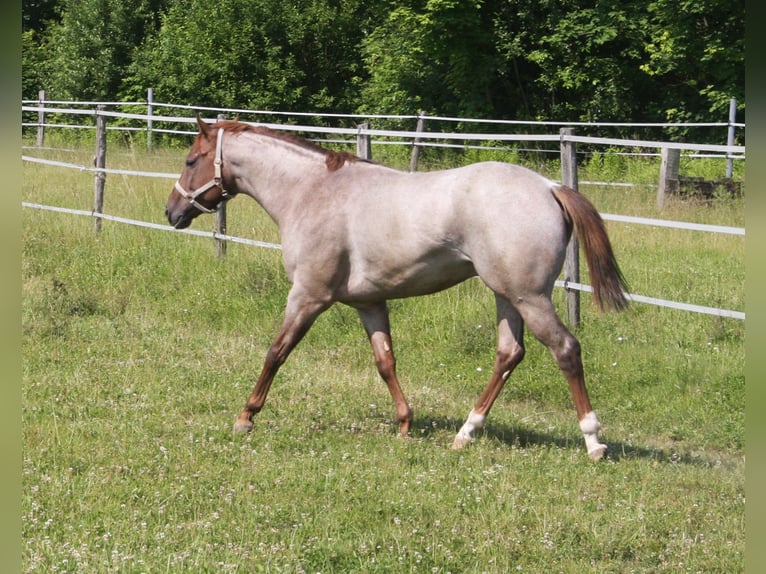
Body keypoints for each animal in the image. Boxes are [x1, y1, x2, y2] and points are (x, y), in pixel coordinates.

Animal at [166, 117, 629, 460]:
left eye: (191, 160)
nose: (172, 212)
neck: (313, 192)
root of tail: (550, 187)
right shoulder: (370, 302)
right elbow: (385, 361)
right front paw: (405, 423)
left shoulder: (307, 297)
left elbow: (276, 352)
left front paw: (246, 417)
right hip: (507, 297)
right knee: (508, 354)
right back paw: (466, 432)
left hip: (528, 297)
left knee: (565, 349)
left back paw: (593, 440)